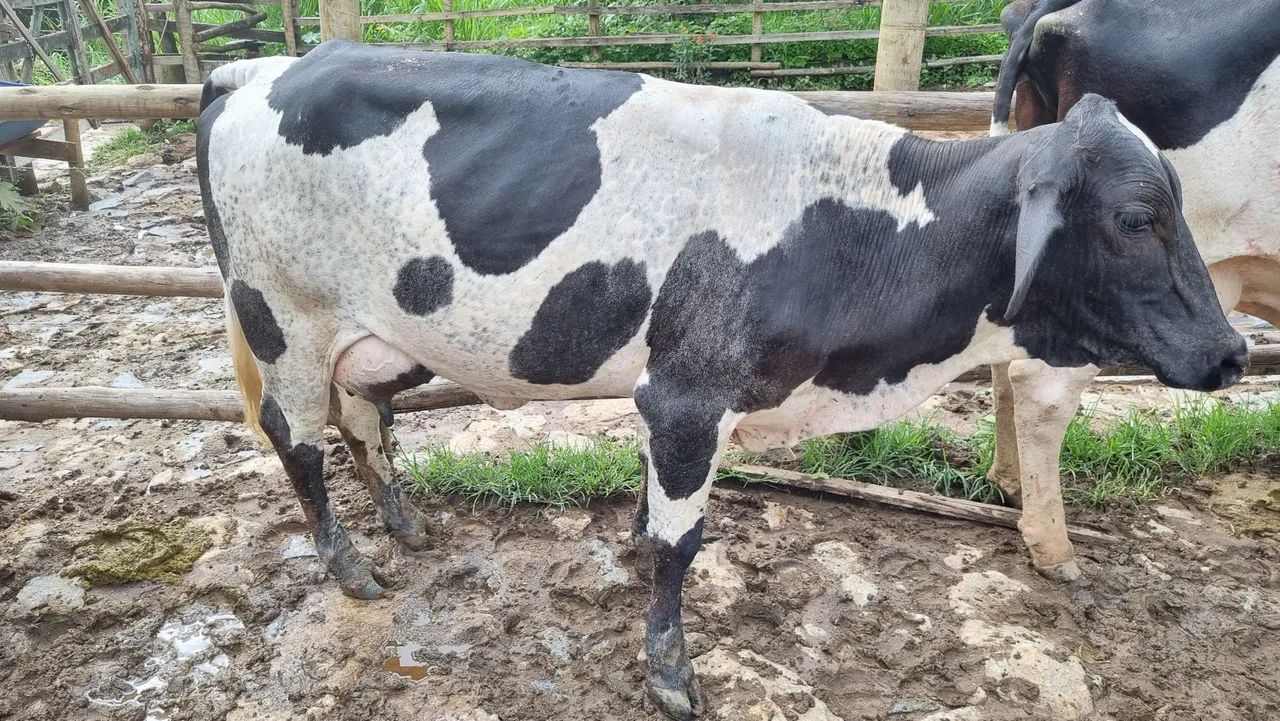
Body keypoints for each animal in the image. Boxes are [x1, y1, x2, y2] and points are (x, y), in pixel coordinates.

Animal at [198, 40, 1245, 720]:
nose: (1233, 350)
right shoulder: (687, 398)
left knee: (364, 418)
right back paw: (349, 563)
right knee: (298, 440)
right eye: (1137, 216)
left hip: (366, 336)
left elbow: (654, 518)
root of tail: (260, 70)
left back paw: (405, 523)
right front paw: (669, 672)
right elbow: (681, 542)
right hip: (284, 319)